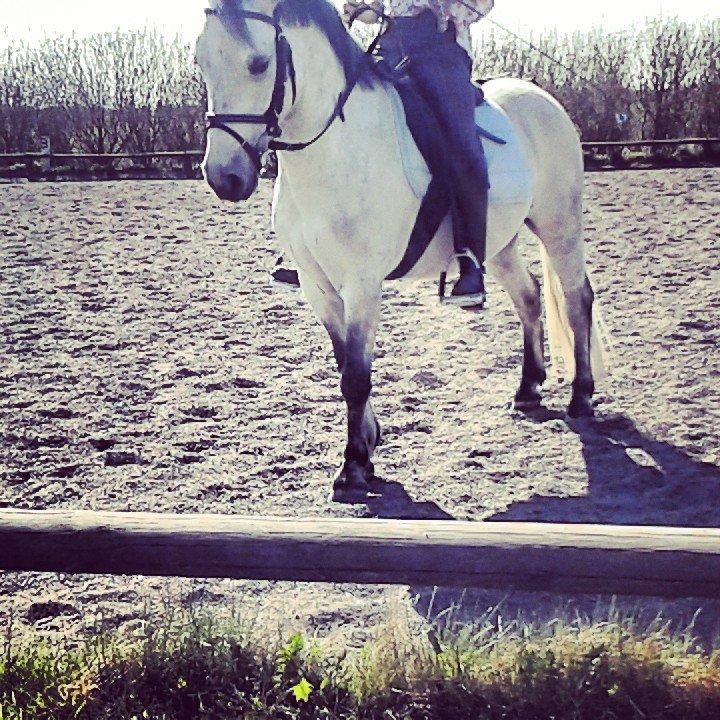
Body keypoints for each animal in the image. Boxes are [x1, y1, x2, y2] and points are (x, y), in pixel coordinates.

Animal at [196, 0, 611, 503]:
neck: (337, 148)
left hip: (559, 226)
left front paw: (354, 467)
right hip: (500, 243)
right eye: (201, 61)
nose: (224, 177)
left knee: (576, 299)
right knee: (529, 298)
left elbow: (355, 376)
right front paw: (369, 444)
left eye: (258, 64)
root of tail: (540, 97)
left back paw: (581, 397)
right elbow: (346, 364)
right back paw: (528, 389)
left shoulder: (362, 285)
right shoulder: (318, 287)